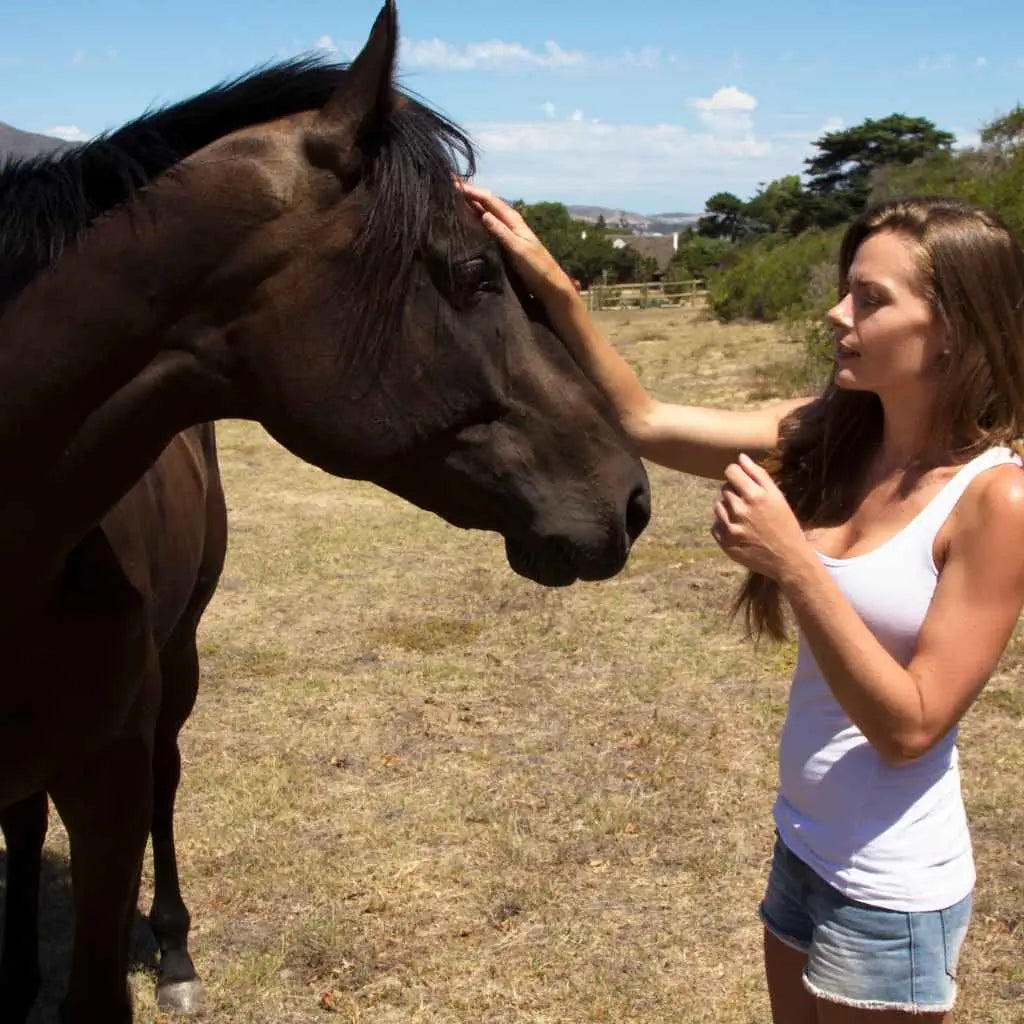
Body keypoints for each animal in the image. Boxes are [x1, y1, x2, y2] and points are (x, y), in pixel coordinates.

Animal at [0, 3, 650, 1021]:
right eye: (474, 273)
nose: (633, 497)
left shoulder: (107, 787)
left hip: (175, 669)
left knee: (164, 779)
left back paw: (174, 955)